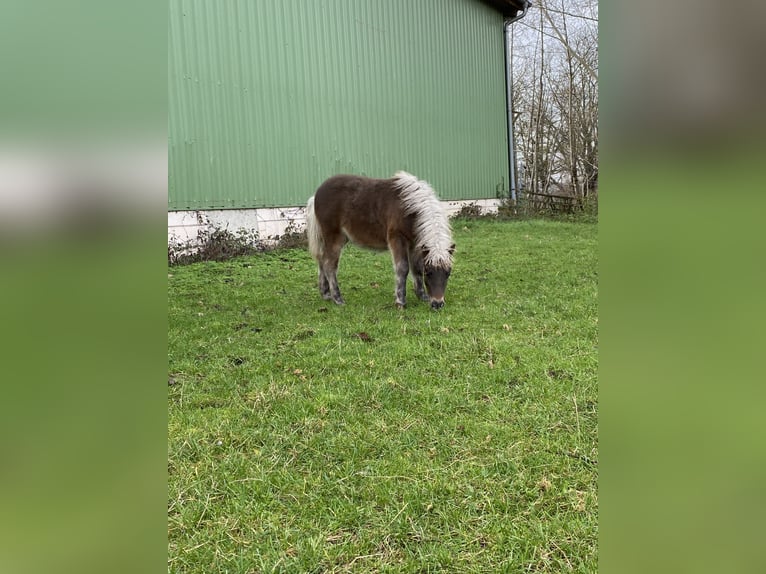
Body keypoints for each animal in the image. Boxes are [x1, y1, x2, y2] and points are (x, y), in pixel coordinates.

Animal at [306, 172, 456, 310]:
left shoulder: (415, 243)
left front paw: (422, 296)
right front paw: (401, 302)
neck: (410, 209)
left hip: (340, 238)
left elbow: (416, 268)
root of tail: (316, 194)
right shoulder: (397, 238)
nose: (437, 304)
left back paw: (326, 294)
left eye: (448, 273)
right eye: (429, 273)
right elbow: (403, 268)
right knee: (329, 265)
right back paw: (337, 299)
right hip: (334, 237)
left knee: (322, 260)